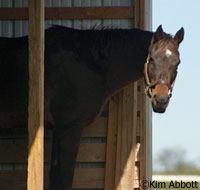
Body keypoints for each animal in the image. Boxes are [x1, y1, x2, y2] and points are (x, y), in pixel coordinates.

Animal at [0, 24, 184, 189]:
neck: (89, 62)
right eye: (151, 59)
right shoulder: (70, 127)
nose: (160, 100)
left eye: (177, 63)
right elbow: (64, 178)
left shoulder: (59, 128)